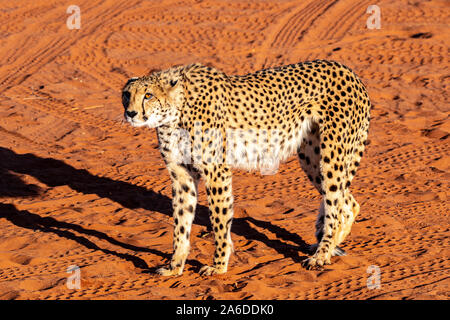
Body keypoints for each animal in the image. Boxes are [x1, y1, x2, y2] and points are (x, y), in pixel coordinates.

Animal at [121, 60, 370, 276]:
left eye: (148, 95)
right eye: (126, 95)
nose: (131, 113)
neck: (175, 113)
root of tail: (349, 72)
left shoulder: (216, 172)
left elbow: (219, 220)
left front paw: (219, 266)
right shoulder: (182, 176)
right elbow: (181, 223)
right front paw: (175, 266)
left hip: (331, 157)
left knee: (337, 204)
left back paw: (322, 255)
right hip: (311, 158)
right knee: (348, 202)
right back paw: (328, 246)